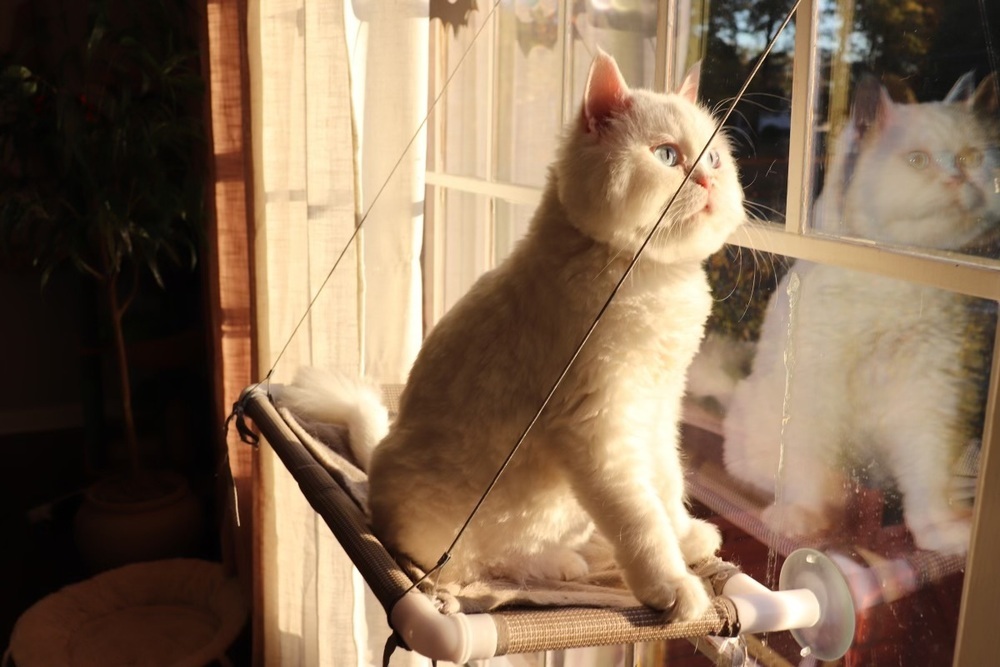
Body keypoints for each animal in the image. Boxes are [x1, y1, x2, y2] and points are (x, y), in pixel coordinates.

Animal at [278, 51, 748, 620]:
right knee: (471, 567)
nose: (707, 182)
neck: (654, 280)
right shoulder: (599, 429)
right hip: (450, 538)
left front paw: (685, 537)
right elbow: (640, 518)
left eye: (716, 159)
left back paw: (568, 560)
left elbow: (667, 484)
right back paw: (555, 567)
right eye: (667, 156)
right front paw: (671, 584)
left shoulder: (658, 412)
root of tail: (374, 475)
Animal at [724, 73, 996, 556]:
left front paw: (940, 532)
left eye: (972, 157)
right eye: (917, 160)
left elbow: (928, 479)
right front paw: (807, 519)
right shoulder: (815, 393)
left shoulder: (929, 399)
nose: (957, 177)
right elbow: (811, 470)